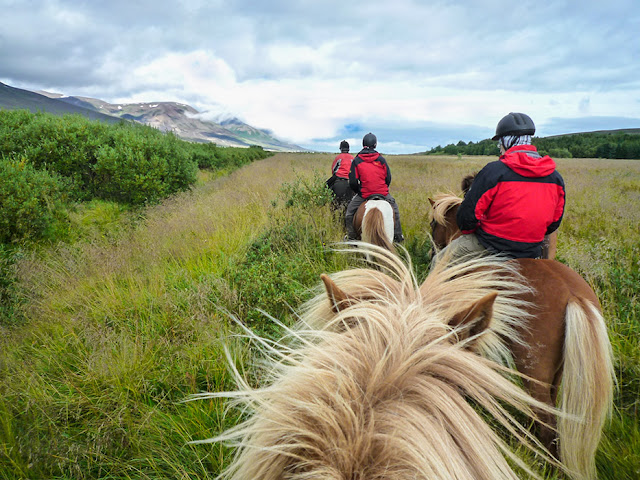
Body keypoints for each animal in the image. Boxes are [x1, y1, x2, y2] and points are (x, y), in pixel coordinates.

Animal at [430, 192, 616, 480]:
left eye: (433, 224)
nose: (434, 247)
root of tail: (573, 294)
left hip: (532, 367)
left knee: (547, 418)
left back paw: (547, 464)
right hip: (556, 371)